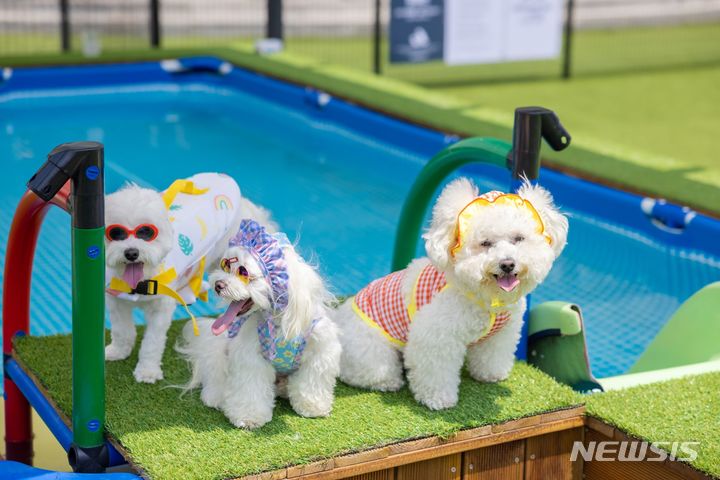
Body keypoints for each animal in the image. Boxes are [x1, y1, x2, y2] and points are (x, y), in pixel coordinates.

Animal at [104, 174, 276, 384]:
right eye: (115, 234)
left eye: (146, 233)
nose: (131, 253)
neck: (141, 281)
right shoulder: (117, 302)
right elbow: (122, 330)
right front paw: (119, 351)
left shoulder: (160, 310)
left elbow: (152, 342)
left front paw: (147, 371)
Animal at [176, 219, 340, 430]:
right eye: (225, 266)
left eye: (243, 272)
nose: (218, 285)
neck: (277, 320)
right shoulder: (250, 357)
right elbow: (251, 388)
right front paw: (249, 417)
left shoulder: (320, 351)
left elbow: (312, 382)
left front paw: (312, 406)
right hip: (220, 354)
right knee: (215, 379)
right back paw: (217, 397)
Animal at [334, 178, 568, 410]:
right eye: (485, 243)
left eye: (518, 238)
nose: (507, 264)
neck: (487, 299)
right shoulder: (436, 339)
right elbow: (436, 373)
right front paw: (438, 399)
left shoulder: (501, 335)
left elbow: (491, 356)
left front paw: (490, 375)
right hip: (372, 353)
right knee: (367, 373)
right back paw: (389, 382)